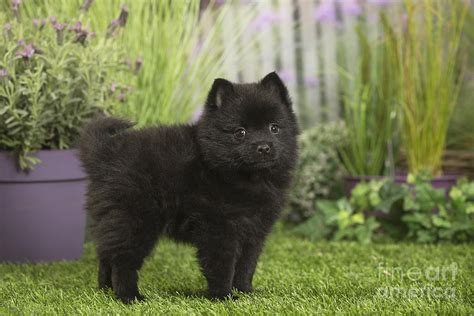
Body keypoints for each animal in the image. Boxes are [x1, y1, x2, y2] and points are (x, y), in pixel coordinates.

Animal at [79, 72, 298, 304]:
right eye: (240, 132)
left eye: (274, 128)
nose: (264, 147)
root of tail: (106, 153)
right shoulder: (218, 228)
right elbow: (223, 265)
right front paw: (224, 296)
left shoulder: (254, 230)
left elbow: (246, 265)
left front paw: (244, 291)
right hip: (134, 220)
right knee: (122, 261)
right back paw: (130, 297)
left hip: (112, 220)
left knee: (106, 256)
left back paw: (105, 290)